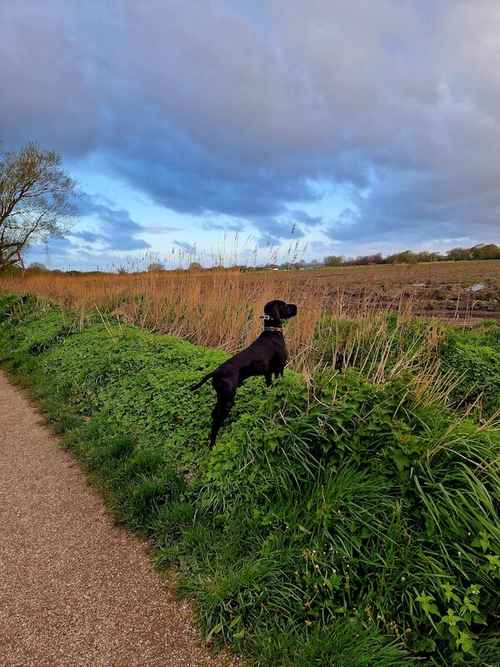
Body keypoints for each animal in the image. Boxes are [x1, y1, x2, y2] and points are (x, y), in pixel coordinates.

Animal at [189, 300, 294, 446]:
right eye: (284, 305)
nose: (296, 307)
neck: (272, 332)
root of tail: (215, 372)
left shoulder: (268, 374)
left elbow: (270, 388)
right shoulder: (280, 368)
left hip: (222, 397)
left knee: (214, 414)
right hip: (227, 400)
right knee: (216, 420)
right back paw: (213, 444)